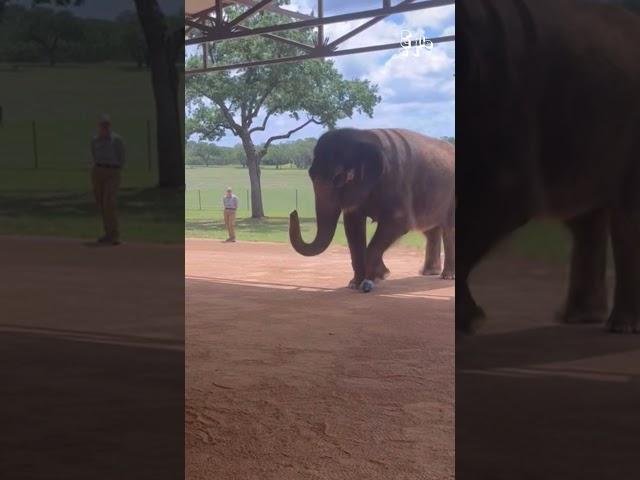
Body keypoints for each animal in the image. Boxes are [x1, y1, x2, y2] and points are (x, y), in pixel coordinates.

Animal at [290, 127, 456, 290]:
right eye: (310, 174)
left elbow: (398, 223)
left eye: (339, 178)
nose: (293, 212)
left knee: (449, 230)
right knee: (431, 231)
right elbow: (353, 227)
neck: (364, 136)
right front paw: (355, 283)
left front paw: (373, 279)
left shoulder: (397, 183)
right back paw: (429, 273)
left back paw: (447, 276)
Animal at [458, 0, 636, 332]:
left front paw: (468, 320)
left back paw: (620, 326)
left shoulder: (504, 98)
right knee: (586, 221)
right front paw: (471, 318)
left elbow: (501, 195)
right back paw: (578, 318)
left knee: (627, 217)